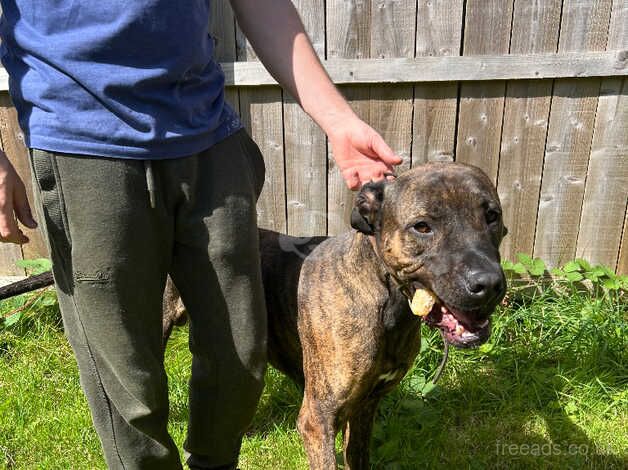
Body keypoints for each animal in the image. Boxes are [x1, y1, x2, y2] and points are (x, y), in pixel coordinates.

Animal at [162, 162, 506, 470]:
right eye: (422, 226)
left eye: (492, 216)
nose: (488, 284)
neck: (385, 300)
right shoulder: (318, 420)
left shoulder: (366, 406)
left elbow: (358, 455)